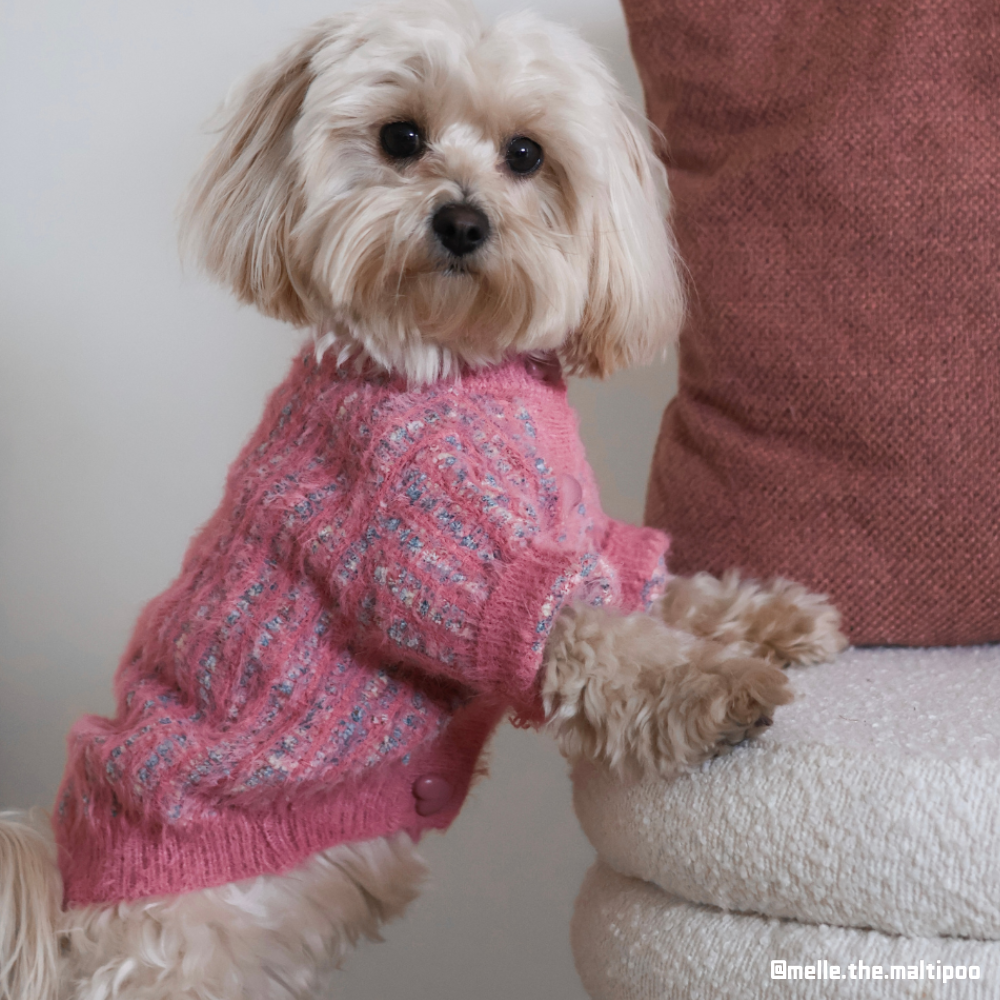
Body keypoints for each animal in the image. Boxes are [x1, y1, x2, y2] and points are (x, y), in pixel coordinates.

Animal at [0, 3, 844, 996]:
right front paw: (719, 685)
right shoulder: (448, 567)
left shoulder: (574, 534)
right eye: (400, 138)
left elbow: (665, 587)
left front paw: (778, 618)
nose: (463, 220)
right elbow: (605, 641)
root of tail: (66, 898)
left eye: (527, 154)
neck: (453, 360)